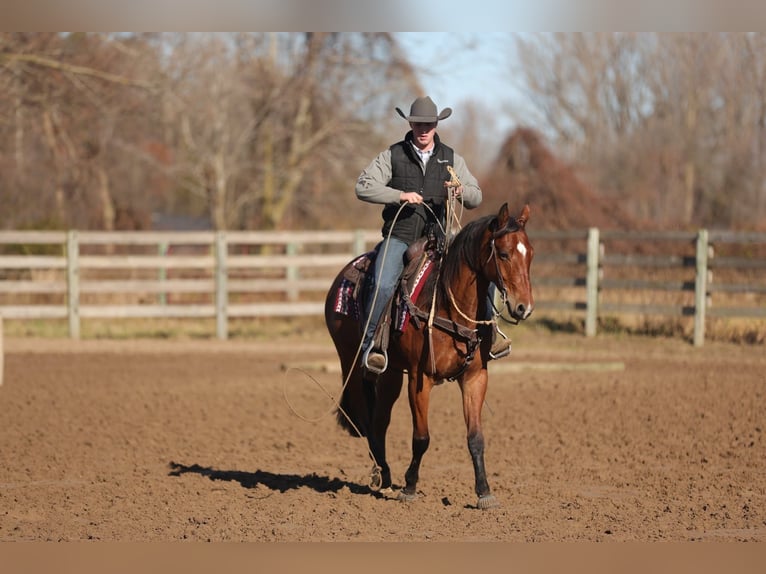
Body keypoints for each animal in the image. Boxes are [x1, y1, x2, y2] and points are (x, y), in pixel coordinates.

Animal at [324, 203, 534, 509]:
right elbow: (421, 437)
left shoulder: (475, 378)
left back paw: (385, 476)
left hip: (390, 375)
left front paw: (484, 492)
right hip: (350, 360)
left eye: (530, 253)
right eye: (504, 253)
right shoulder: (420, 379)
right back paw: (382, 474)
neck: (449, 306)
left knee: (380, 420)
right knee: (364, 415)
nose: (524, 308)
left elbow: (476, 438)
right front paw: (410, 487)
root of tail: (345, 273)